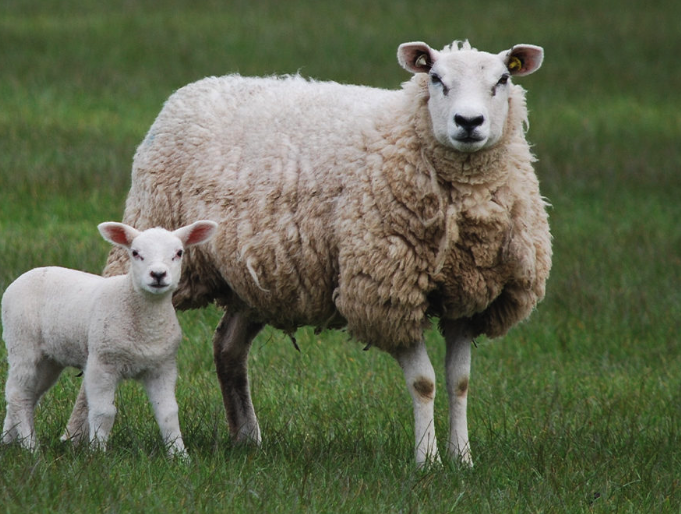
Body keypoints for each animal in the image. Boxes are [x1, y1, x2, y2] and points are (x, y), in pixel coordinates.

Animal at [0, 218, 218, 454]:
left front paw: (179, 455)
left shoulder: (162, 367)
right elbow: (103, 412)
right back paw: (30, 447)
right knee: (18, 394)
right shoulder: (101, 362)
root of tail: (25, 275)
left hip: (49, 359)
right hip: (22, 341)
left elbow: (168, 414)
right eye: (135, 253)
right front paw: (97, 453)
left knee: (28, 395)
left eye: (178, 253)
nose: (158, 274)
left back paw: (9, 441)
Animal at [66, 40, 548, 464]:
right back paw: (75, 436)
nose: (469, 122)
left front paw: (462, 459)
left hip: (257, 279)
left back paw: (247, 438)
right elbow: (425, 383)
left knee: (228, 347)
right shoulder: (386, 292)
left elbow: (460, 382)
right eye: (435, 78)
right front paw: (427, 461)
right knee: (101, 332)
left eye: (503, 79)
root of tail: (194, 89)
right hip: (149, 234)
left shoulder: (470, 295)